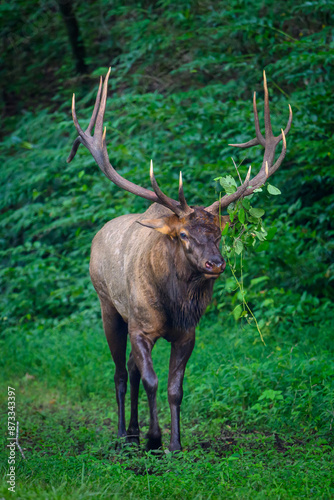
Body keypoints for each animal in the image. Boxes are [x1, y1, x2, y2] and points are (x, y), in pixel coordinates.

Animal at [68, 70, 292, 454]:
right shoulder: (141, 327)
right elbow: (152, 381)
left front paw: (174, 443)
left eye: (219, 233)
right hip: (107, 305)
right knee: (120, 372)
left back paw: (133, 432)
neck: (174, 305)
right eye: (184, 234)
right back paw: (122, 435)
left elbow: (175, 388)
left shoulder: (188, 333)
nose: (215, 263)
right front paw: (155, 439)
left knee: (130, 369)